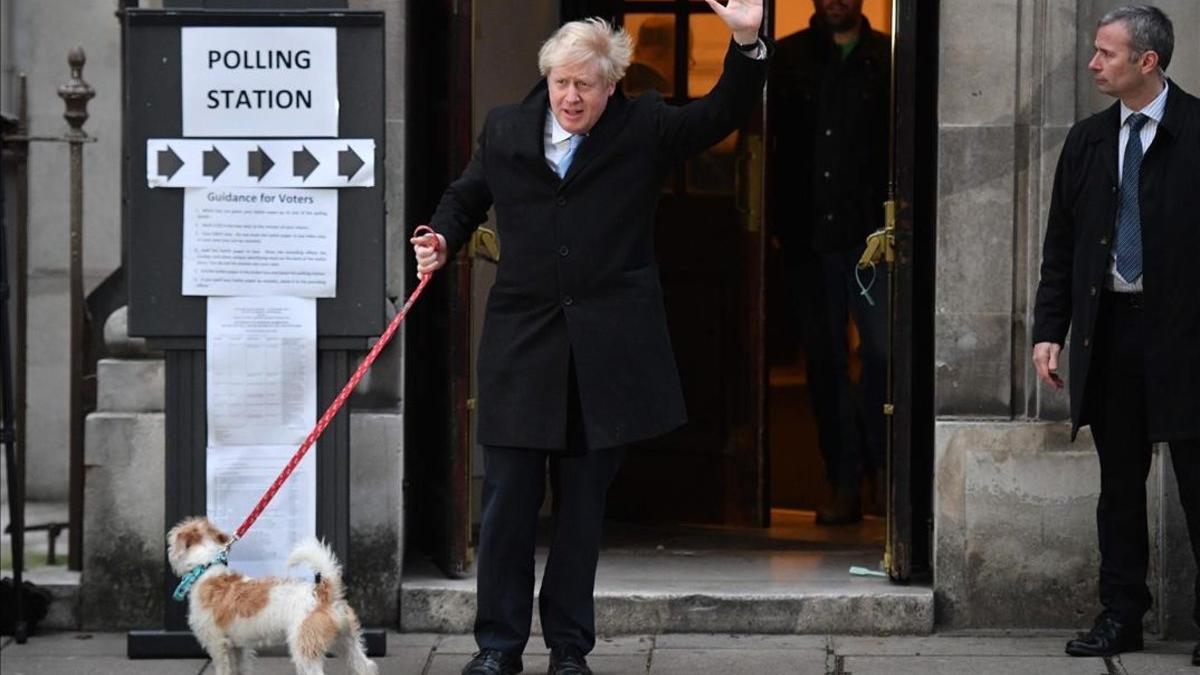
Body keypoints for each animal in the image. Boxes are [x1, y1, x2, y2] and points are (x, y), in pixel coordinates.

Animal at [166, 514, 376, 672]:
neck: (205, 569)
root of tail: (324, 593)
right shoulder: (238, 647)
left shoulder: (218, 646)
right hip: (347, 643)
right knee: (366, 666)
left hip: (305, 649)